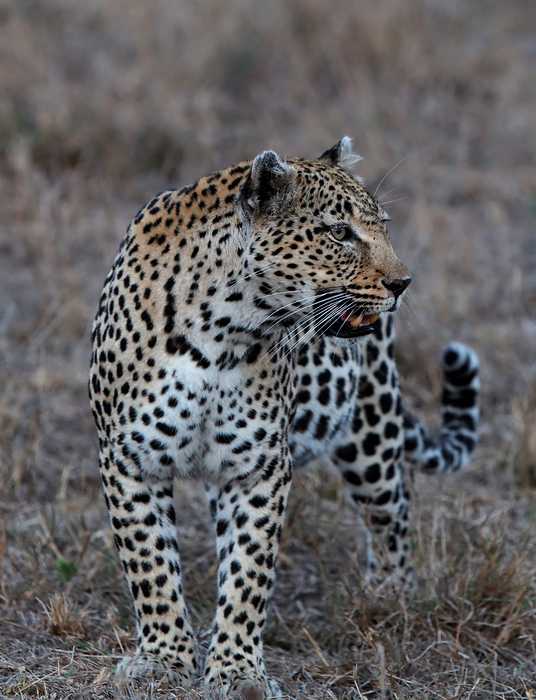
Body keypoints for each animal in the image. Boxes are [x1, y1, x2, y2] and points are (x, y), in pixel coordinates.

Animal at [90, 138, 480, 700]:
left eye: (383, 225)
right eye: (339, 232)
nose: (402, 283)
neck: (221, 332)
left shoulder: (259, 466)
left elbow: (249, 571)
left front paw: (237, 672)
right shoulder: (129, 460)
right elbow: (151, 564)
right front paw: (164, 660)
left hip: (370, 432)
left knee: (394, 510)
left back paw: (390, 598)